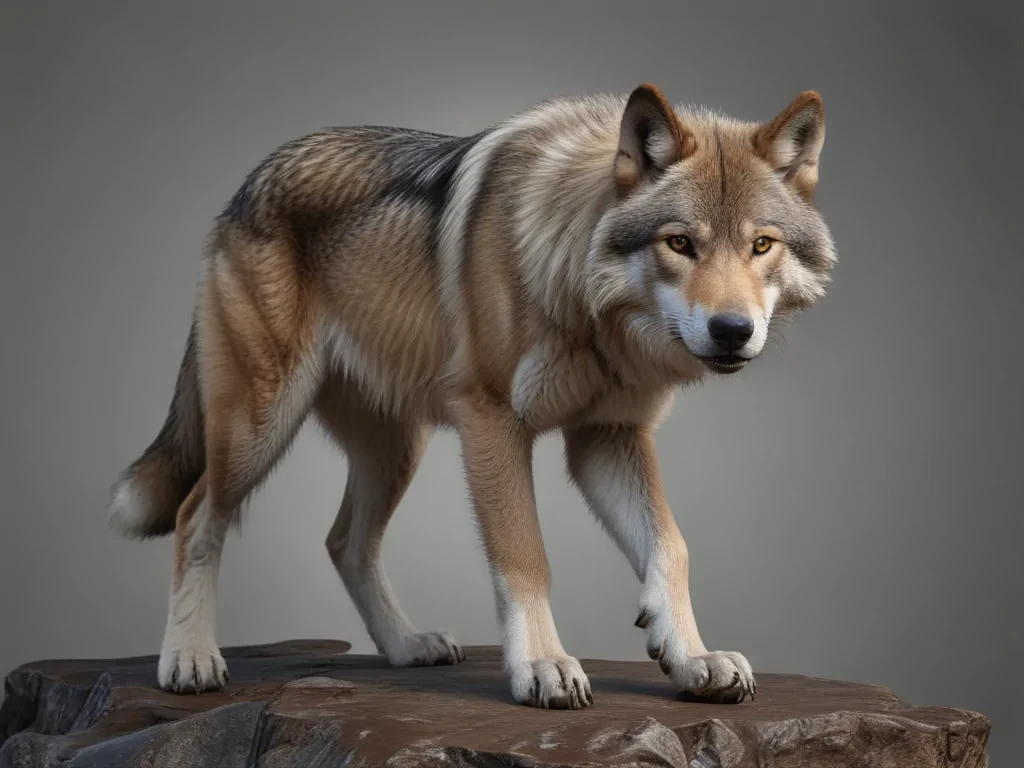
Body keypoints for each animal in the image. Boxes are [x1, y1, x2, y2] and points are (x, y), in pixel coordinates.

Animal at [107, 83, 836, 709]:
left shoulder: (608, 437)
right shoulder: (493, 424)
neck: (578, 294)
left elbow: (672, 547)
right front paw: (543, 665)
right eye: (680, 243)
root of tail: (248, 182)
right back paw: (189, 659)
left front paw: (691, 657)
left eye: (761, 245)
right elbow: (525, 556)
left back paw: (406, 646)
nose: (733, 330)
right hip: (260, 424)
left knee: (345, 542)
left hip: (397, 448)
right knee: (197, 515)